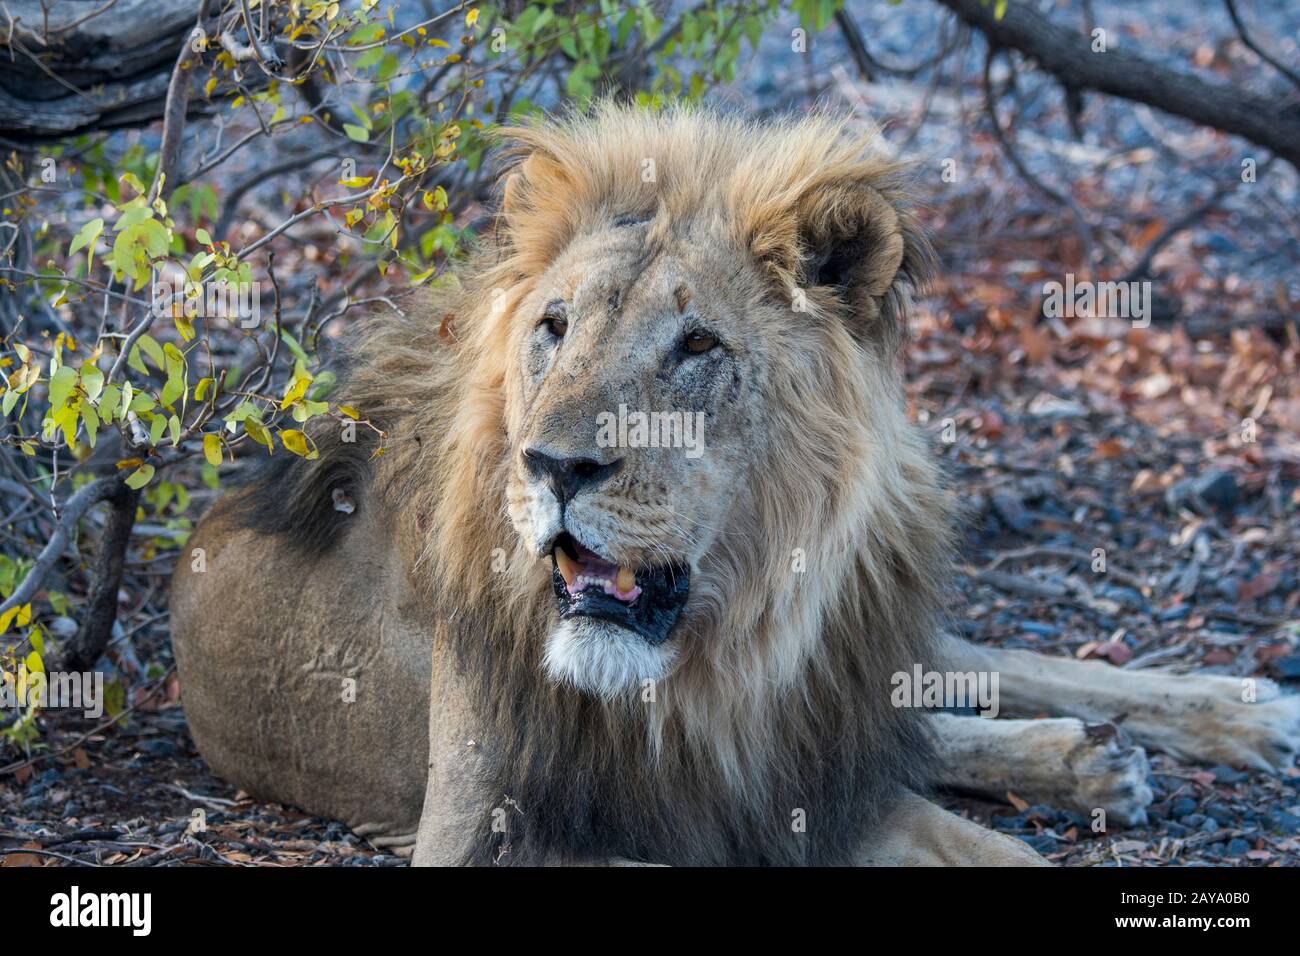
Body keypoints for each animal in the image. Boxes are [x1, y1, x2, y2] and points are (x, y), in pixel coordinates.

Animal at [170, 102, 1300, 866]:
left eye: (697, 345)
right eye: (552, 327)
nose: (552, 466)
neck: (718, 653)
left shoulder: (790, 769)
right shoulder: (482, 827)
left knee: (969, 676)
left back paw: (1221, 715)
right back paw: (1097, 758)